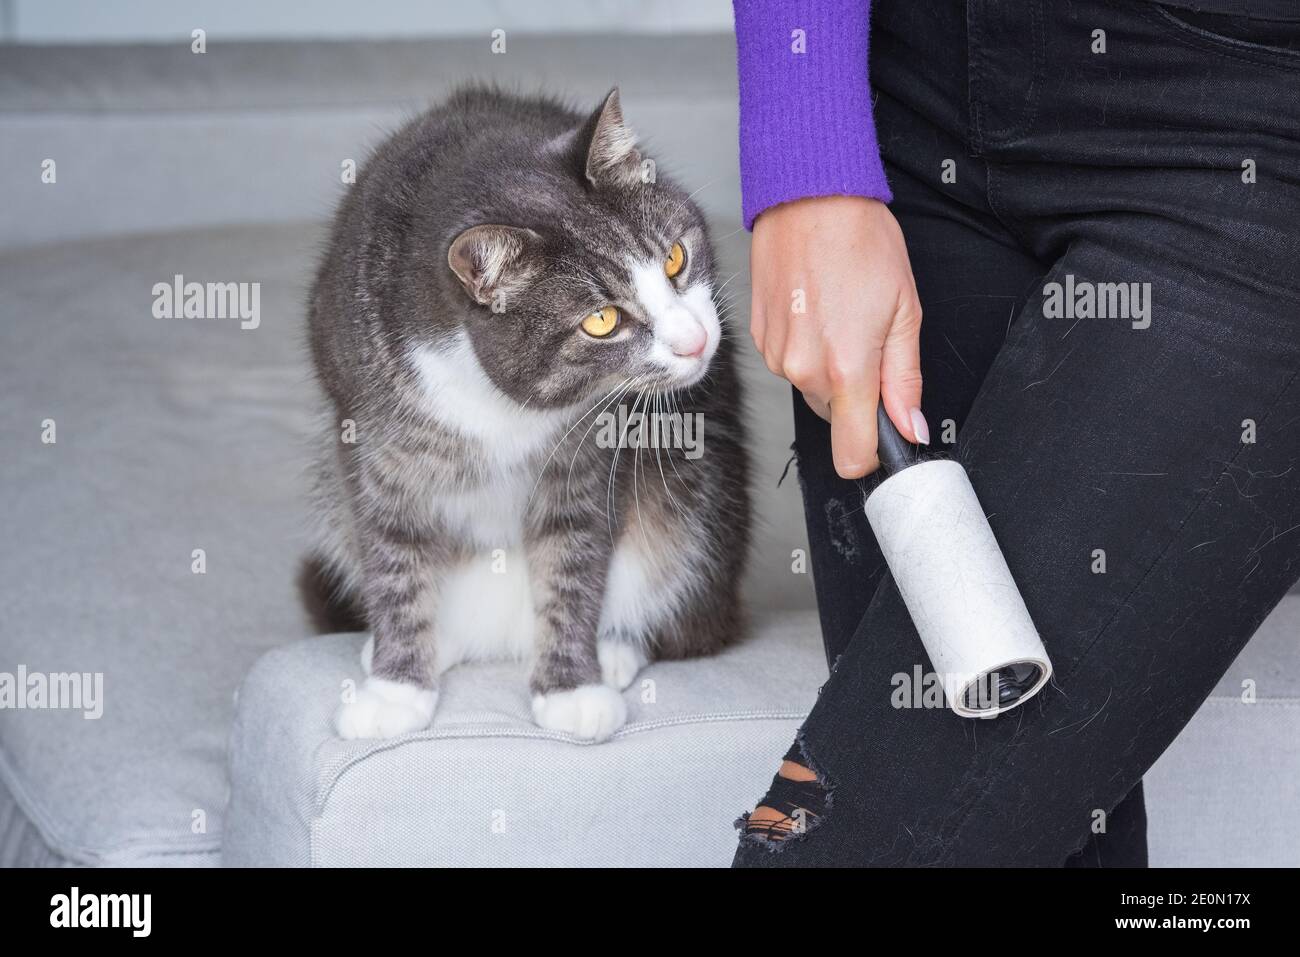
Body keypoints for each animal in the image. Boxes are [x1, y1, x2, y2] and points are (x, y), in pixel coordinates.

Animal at [304, 85, 754, 743]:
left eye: (675, 259)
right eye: (602, 320)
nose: (696, 342)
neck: (498, 405)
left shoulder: (586, 458)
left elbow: (574, 559)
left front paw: (572, 689)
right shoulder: (375, 449)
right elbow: (393, 559)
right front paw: (395, 690)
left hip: (700, 504)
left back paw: (614, 650)